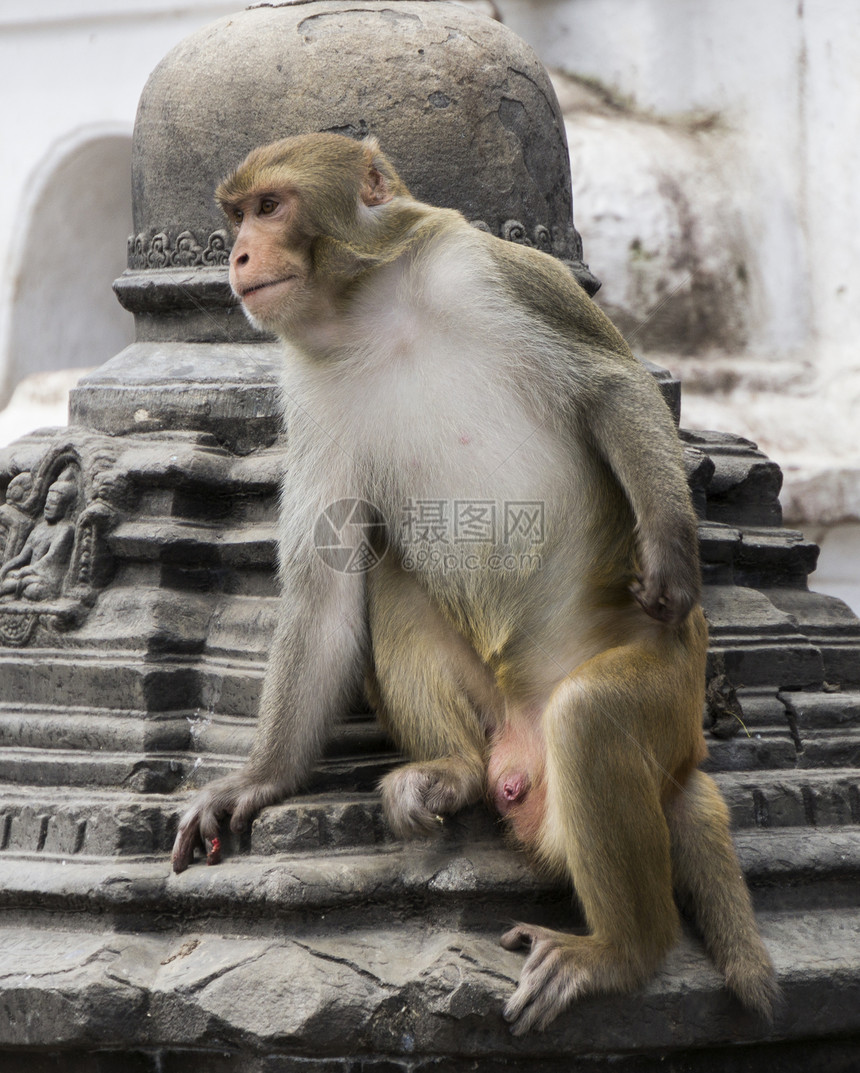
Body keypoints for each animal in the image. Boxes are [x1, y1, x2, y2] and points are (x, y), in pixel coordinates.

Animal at [169, 131, 777, 1030]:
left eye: (269, 207)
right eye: (235, 216)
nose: (238, 255)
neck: (372, 309)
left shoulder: (493, 267)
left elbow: (614, 385)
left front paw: (670, 546)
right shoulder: (306, 389)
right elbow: (326, 587)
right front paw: (258, 780)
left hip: (668, 692)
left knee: (594, 717)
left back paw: (620, 953)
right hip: (499, 715)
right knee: (386, 574)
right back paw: (449, 769)